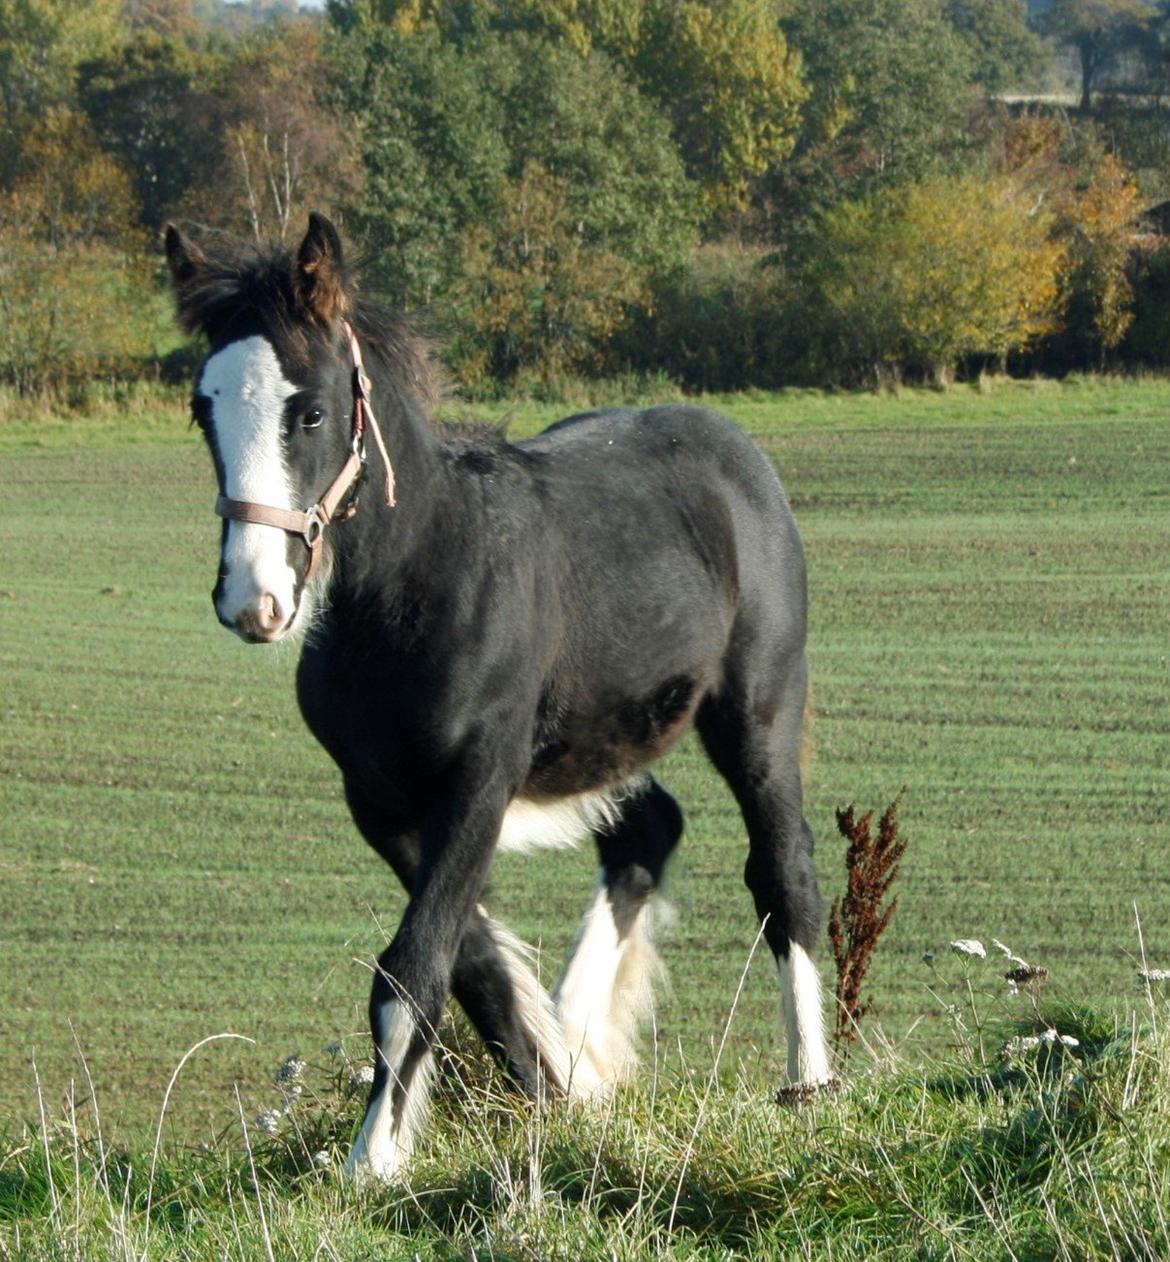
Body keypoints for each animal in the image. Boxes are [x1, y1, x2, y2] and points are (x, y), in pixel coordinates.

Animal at [164, 214, 838, 1181]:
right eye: (202, 407)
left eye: (312, 410)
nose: (253, 600)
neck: (416, 586)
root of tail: (731, 446)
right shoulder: (380, 800)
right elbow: (467, 961)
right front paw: (553, 1088)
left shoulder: (481, 774)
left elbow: (416, 963)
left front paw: (373, 1159)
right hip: (603, 730)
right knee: (647, 831)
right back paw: (584, 1050)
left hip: (757, 709)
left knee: (784, 868)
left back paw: (809, 1082)